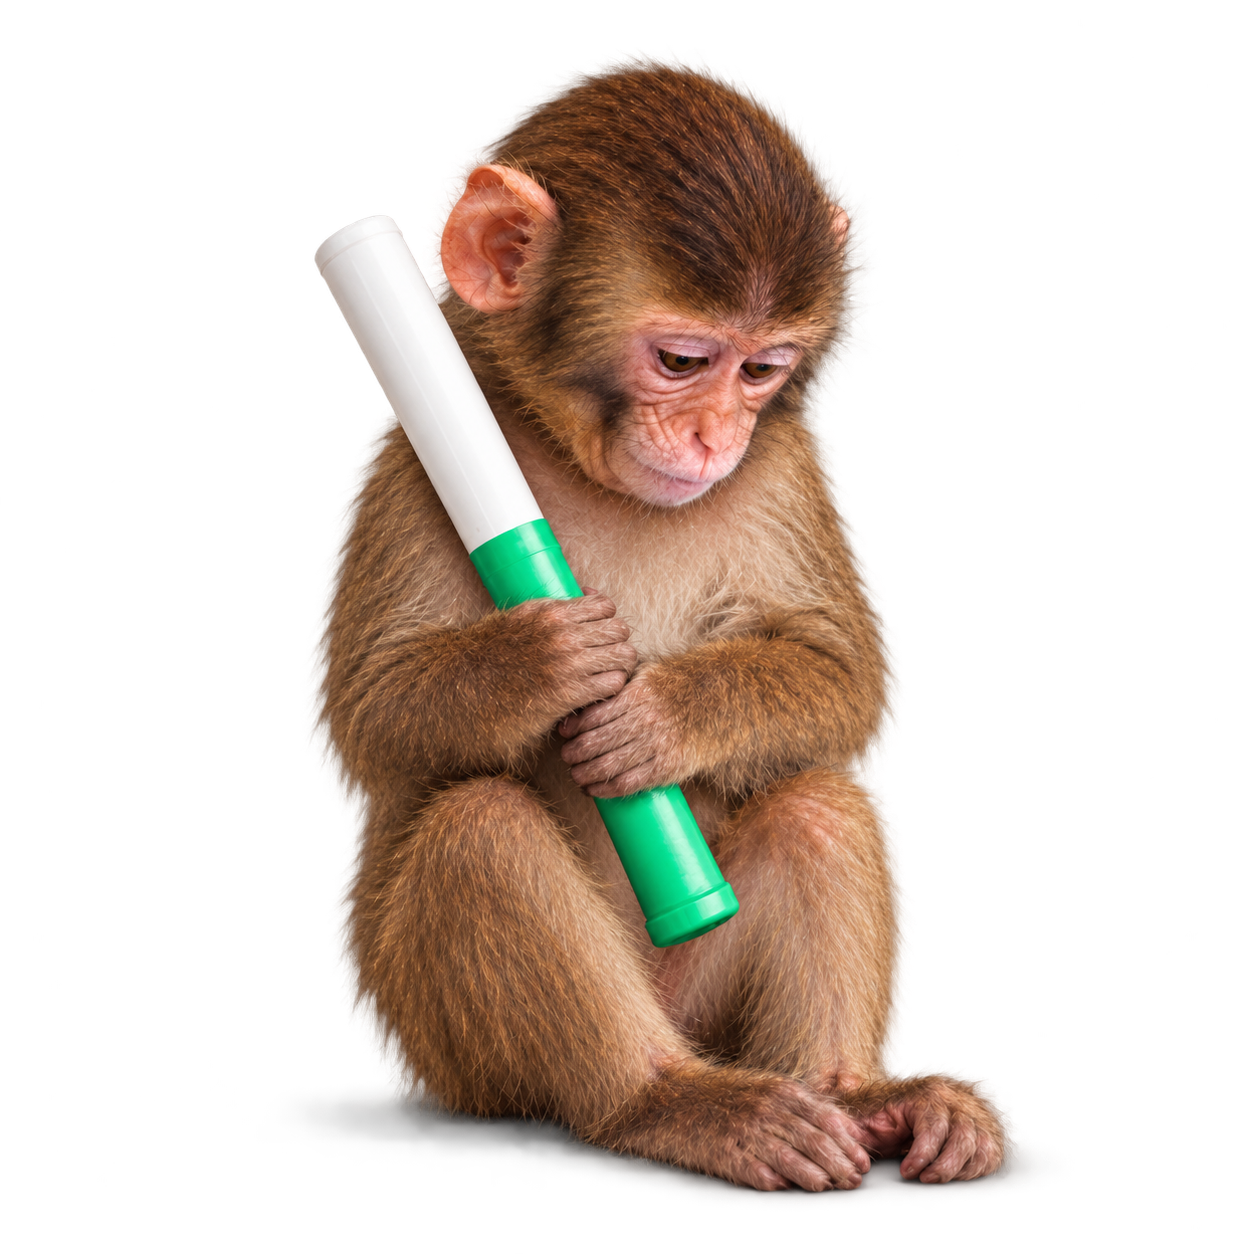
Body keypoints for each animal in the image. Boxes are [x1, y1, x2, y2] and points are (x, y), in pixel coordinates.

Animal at [307, 53, 1014, 1192]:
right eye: (683, 361)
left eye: (761, 370)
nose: (714, 435)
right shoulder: (403, 465)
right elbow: (369, 718)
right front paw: (542, 660)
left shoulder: (789, 461)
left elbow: (850, 680)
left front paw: (659, 715)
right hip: (438, 1051)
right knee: (475, 829)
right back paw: (660, 1101)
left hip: (720, 997)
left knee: (817, 802)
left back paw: (865, 1093)